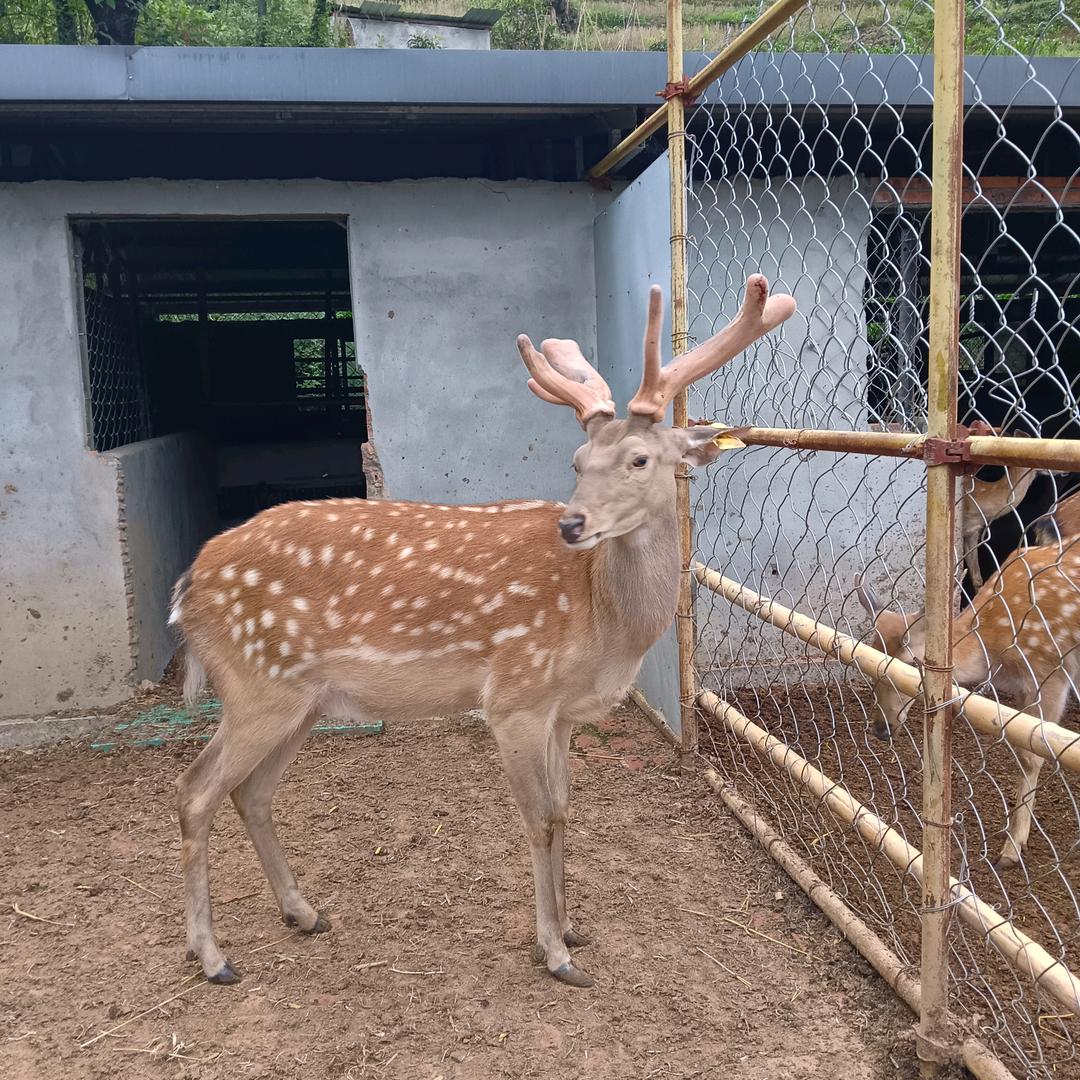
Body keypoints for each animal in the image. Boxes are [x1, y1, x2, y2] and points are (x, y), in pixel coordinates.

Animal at [169, 274, 797, 988]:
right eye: (577, 459)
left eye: (639, 459)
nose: (573, 524)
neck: (603, 625)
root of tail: (187, 586)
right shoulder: (514, 697)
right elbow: (538, 820)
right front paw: (555, 954)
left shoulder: (561, 712)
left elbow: (563, 810)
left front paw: (572, 930)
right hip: (256, 685)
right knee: (195, 791)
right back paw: (212, 956)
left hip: (302, 700)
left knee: (250, 791)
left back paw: (303, 913)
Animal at [855, 537, 1080, 872]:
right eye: (869, 662)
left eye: (910, 663)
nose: (882, 728)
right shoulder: (1024, 686)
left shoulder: (1051, 669)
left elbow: (1032, 755)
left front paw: (1011, 849)